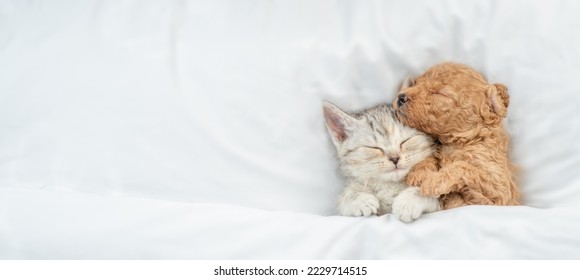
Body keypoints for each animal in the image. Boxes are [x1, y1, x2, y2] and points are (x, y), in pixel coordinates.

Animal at [394, 62, 520, 209]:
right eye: (417, 83)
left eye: (440, 93)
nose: (401, 97)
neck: (463, 141)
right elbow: (432, 156)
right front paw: (419, 172)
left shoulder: (500, 192)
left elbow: (462, 167)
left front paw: (432, 182)